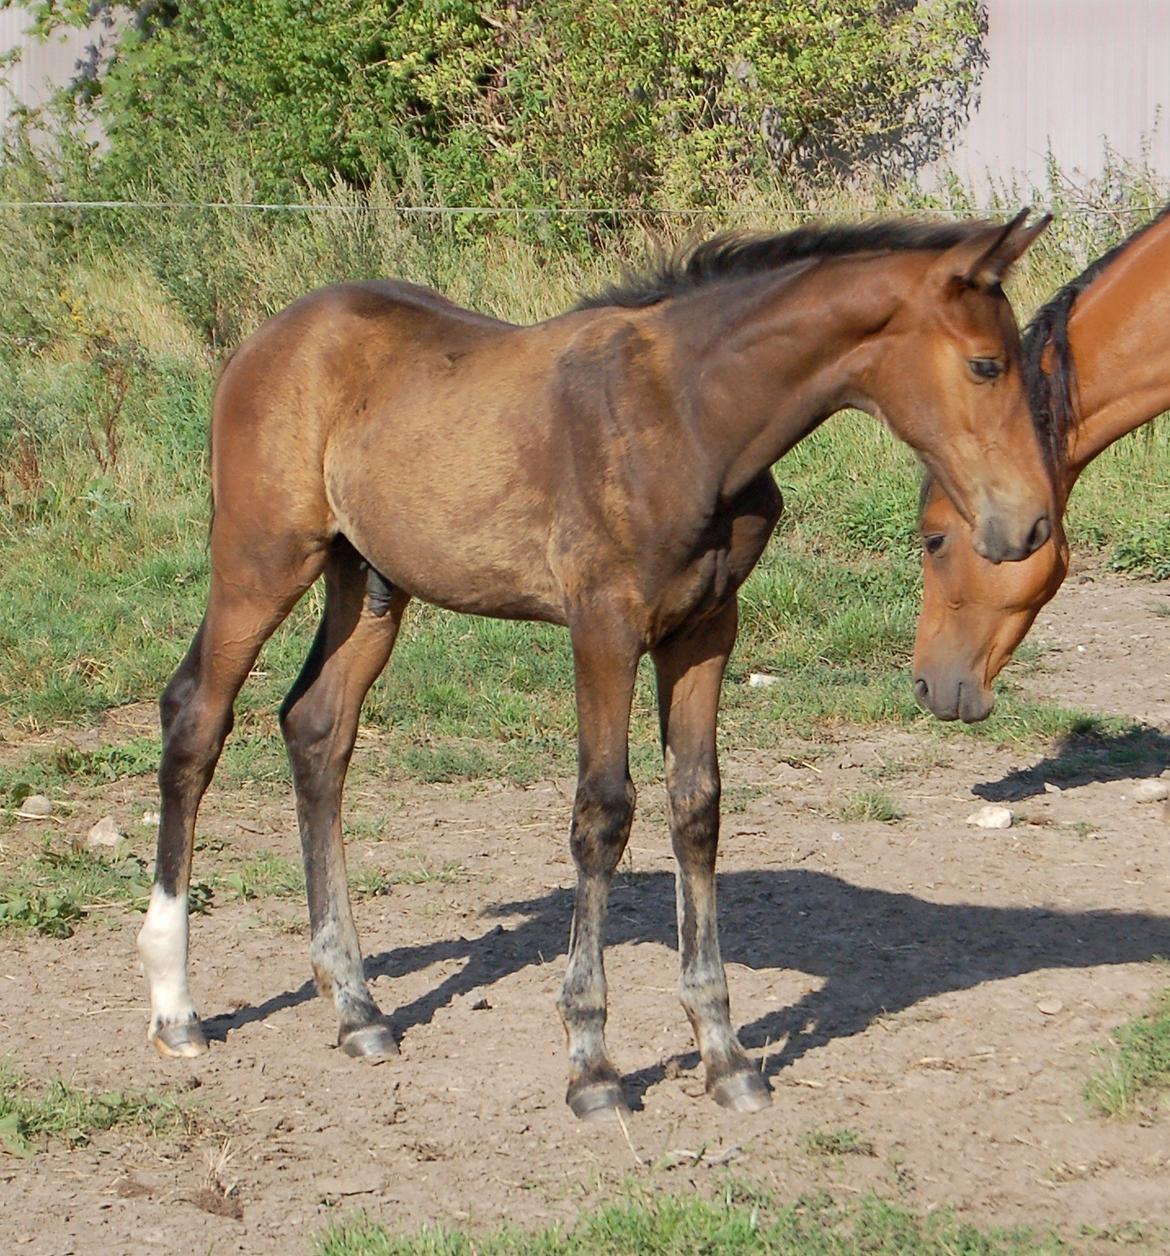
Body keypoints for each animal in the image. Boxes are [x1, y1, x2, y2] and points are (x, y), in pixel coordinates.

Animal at [139, 208, 1049, 1120]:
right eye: (986, 363)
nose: (1030, 524)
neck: (691, 415)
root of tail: (264, 341)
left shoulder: (706, 628)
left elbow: (697, 808)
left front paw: (724, 1054)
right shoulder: (603, 627)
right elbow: (603, 813)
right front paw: (592, 1064)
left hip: (366, 580)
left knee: (317, 729)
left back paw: (356, 1007)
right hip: (261, 558)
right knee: (195, 716)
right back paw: (177, 1008)